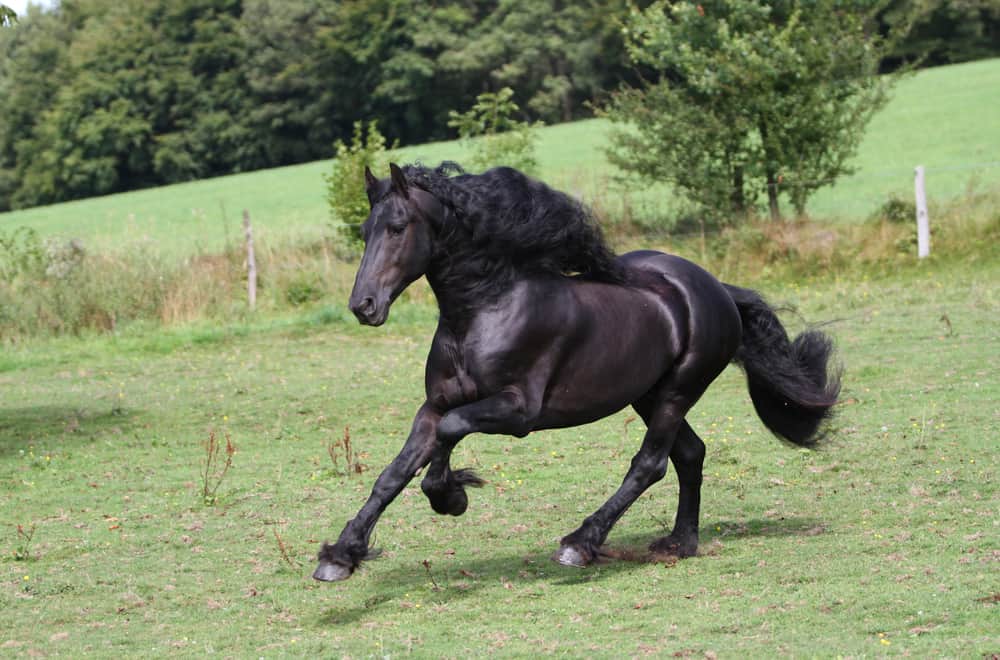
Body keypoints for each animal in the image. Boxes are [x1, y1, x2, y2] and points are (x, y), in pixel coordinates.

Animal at [313, 162, 840, 582]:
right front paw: (340, 555)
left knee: (650, 463)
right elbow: (394, 472)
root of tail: (717, 289)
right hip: (646, 394)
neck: (484, 309)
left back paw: (581, 543)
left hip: (677, 391)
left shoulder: (518, 411)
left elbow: (450, 433)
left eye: (398, 227)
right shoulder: (434, 404)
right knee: (690, 455)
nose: (364, 306)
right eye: (365, 230)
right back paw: (679, 543)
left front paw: (450, 496)